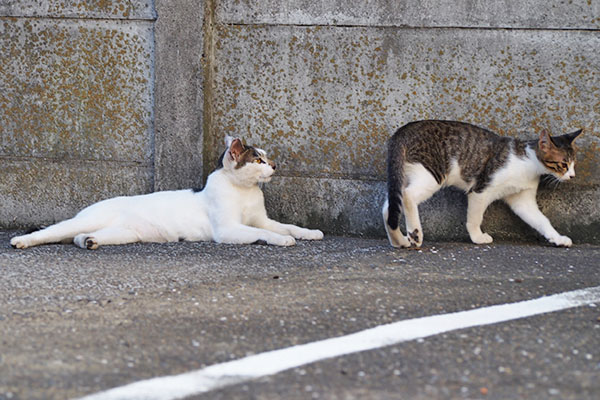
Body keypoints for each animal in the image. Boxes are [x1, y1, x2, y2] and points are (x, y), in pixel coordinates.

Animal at [9, 138, 324, 250]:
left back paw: (89, 241)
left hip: (124, 233)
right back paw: (20, 241)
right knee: (51, 231)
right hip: (83, 221)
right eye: (258, 159)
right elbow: (268, 233)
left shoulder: (261, 219)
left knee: (78, 237)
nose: (274, 165)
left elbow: (287, 225)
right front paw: (283, 240)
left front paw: (308, 233)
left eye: (267, 157)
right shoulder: (228, 229)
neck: (245, 192)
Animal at [382, 120, 584, 248]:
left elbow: (542, 220)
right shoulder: (480, 189)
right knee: (407, 196)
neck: (529, 163)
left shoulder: (522, 200)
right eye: (563, 164)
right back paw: (415, 234)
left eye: (574, 163)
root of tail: (403, 130)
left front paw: (558, 238)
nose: (572, 176)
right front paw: (477, 237)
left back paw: (400, 241)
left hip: (407, 175)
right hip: (432, 174)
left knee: (390, 207)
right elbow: (475, 217)